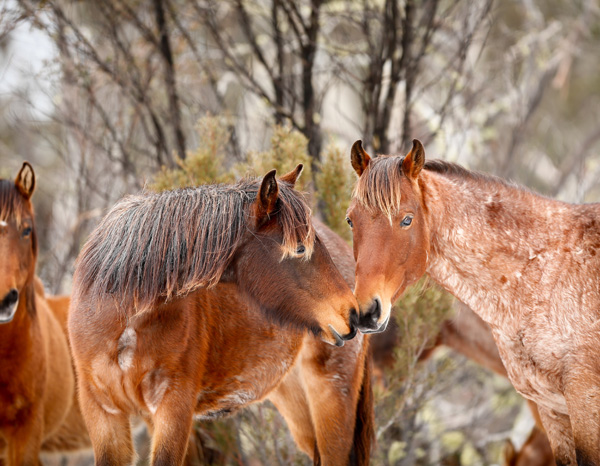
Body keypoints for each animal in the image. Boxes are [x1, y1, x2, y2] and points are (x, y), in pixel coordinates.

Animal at [69, 167, 370, 466]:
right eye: (299, 248)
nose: (352, 314)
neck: (123, 320)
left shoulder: (173, 410)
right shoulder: (103, 413)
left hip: (331, 399)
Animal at [346, 140, 600, 464]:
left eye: (406, 219)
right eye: (351, 220)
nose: (366, 313)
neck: (544, 271)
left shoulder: (584, 405)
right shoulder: (553, 413)